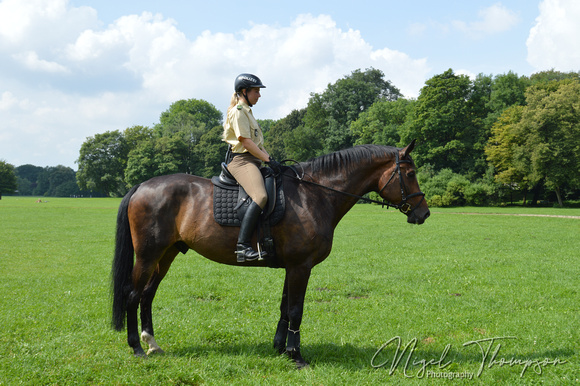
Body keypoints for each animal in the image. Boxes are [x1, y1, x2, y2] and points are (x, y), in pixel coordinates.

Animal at [112, 140, 430, 366]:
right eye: (411, 173)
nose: (424, 213)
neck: (315, 194)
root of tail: (142, 186)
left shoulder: (294, 266)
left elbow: (285, 307)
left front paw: (280, 348)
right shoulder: (301, 266)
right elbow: (296, 309)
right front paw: (296, 355)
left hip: (166, 255)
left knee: (147, 295)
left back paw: (152, 343)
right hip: (148, 256)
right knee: (132, 295)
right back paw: (136, 347)